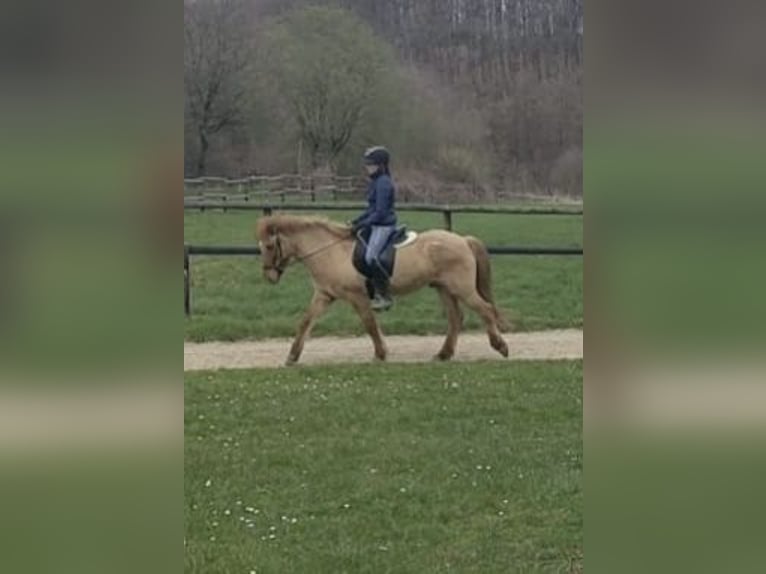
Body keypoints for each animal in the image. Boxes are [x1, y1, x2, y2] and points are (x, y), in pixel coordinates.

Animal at [255, 215, 510, 365]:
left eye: (269, 246)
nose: (269, 276)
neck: (329, 251)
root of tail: (463, 240)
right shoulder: (324, 296)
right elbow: (306, 321)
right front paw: (292, 356)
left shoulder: (357, 296)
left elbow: (369, 323)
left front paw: (380, 354)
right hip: (444, 288)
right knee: (456, 318)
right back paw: (443, 354)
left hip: (461, 288)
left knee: (485, 310)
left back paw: (500, 347)